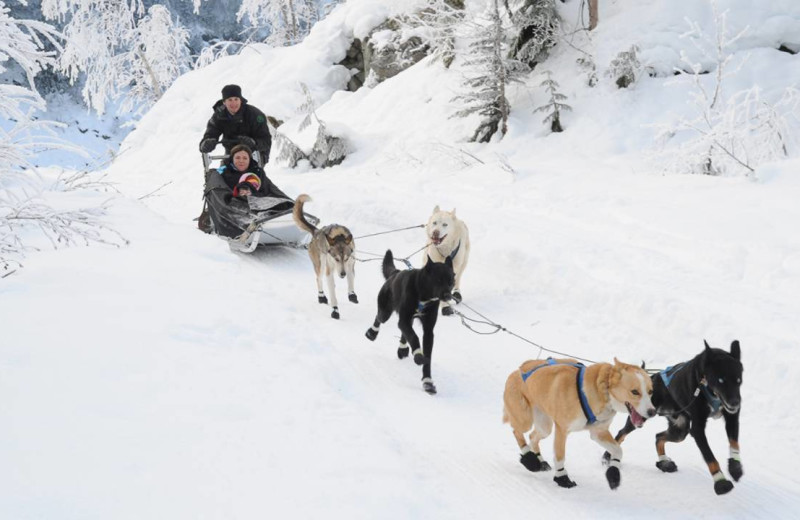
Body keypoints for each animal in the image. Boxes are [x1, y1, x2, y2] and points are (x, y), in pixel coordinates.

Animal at [364, 250, 454, 392]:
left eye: (450, 281)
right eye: (438, 280)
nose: (448, 296)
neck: (423, 296)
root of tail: (395, 273)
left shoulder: (428, 330)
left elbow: (426, 353)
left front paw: (427, 382)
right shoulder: (404, 319)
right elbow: (414, 337)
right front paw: (418, 356)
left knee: (404, 332)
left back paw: (403, 349)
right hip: (386, 312)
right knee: (379, 318)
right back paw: (372, 333)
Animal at [504, 356, 652, 490]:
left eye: (650, 391)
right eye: (635, 392)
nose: (652, 412)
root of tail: (517, 371)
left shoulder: (599, 432)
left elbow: (618, 450)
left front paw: (613, 473)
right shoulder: (562, 430)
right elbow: (560, 457)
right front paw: (562, 478)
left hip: (544, 426)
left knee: (532, 436)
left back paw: (539, 460)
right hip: (525, 419)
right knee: (517, 431)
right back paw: (529, 459)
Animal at [608, 342, 744, 496]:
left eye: (738, 380)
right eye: (721, 380)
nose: (735, 403)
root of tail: (651, 379)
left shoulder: (732, 418)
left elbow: (734, 443)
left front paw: (735, 467)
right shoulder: (697, 429)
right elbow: (710, 456)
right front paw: (721, 482)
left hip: (680, 429)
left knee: (658, 436)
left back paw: (664, 463)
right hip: (642, 416)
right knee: (622, 433)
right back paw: (608, 457)